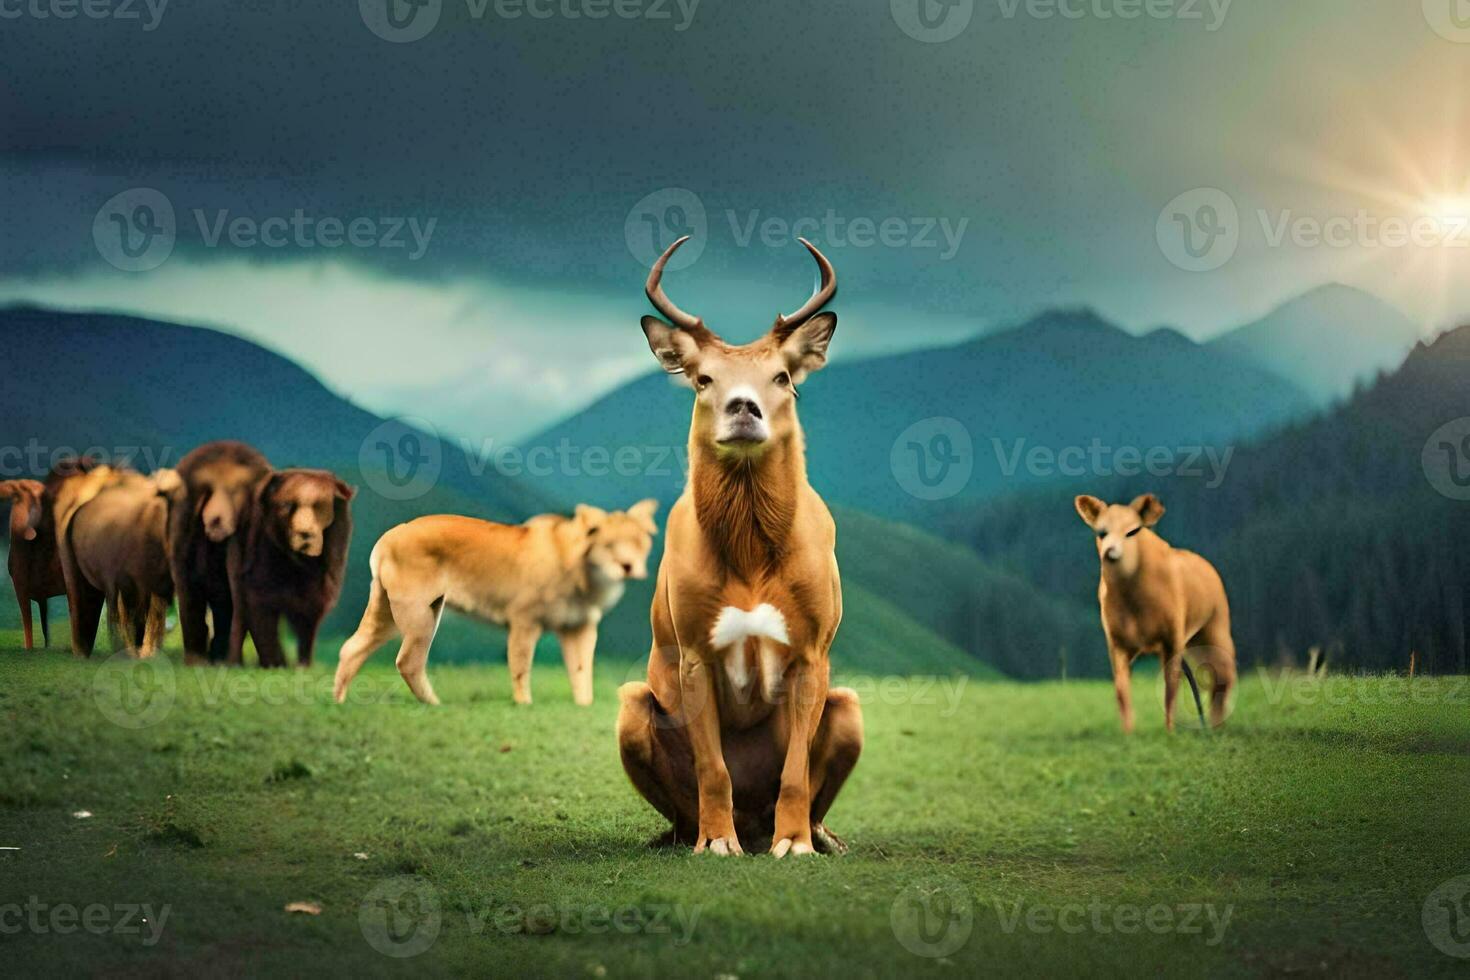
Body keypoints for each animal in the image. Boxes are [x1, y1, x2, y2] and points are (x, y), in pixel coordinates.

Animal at [232, 467, 352, 667]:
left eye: (319, 505)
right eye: (287, 505)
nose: (305, 534)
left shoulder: (316, 595)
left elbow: (306, 628)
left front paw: (302, 665)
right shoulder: (259, 591)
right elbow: (264, 629)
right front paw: (275, 665)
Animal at [336, 505, 658, 705]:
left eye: (637, 541)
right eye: (609, 543)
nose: (628, 567)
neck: (587, 577)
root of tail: (386, 538)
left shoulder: (580, 627)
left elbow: (581, 671)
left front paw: (584, 706)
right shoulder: (525, 619)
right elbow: (520, 665)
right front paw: (524, 704)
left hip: (390, 612)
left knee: (351, 647)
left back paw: (339, 702)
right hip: (416, 615)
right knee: (407, 661)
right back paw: (436, 705)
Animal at [611, 239, 858, 858]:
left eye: (782, 376)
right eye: (703, 379)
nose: (743, 408)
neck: (750, 554)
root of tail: (754, 816)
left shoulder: (813, 652)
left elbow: (795, 770)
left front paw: (792, 844)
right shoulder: (694, 652)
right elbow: (712, 767)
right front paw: (718, 842)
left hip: (850, 706)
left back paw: (818, 836)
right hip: (631, 704)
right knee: (682, 798)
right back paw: (691, 836)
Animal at [1076, 493, 1234, 731]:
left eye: (1132, 531)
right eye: (1101, 532)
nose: (1110, 553)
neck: (1133, 602)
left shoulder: (1172, 638)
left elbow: (1171, 687)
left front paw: (1170, 731)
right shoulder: (1117, 641)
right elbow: (1121, 690)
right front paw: (1128, 732)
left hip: (1215, 627)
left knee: (1223, 675)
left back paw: (1216, 726)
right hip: (1194, 641)